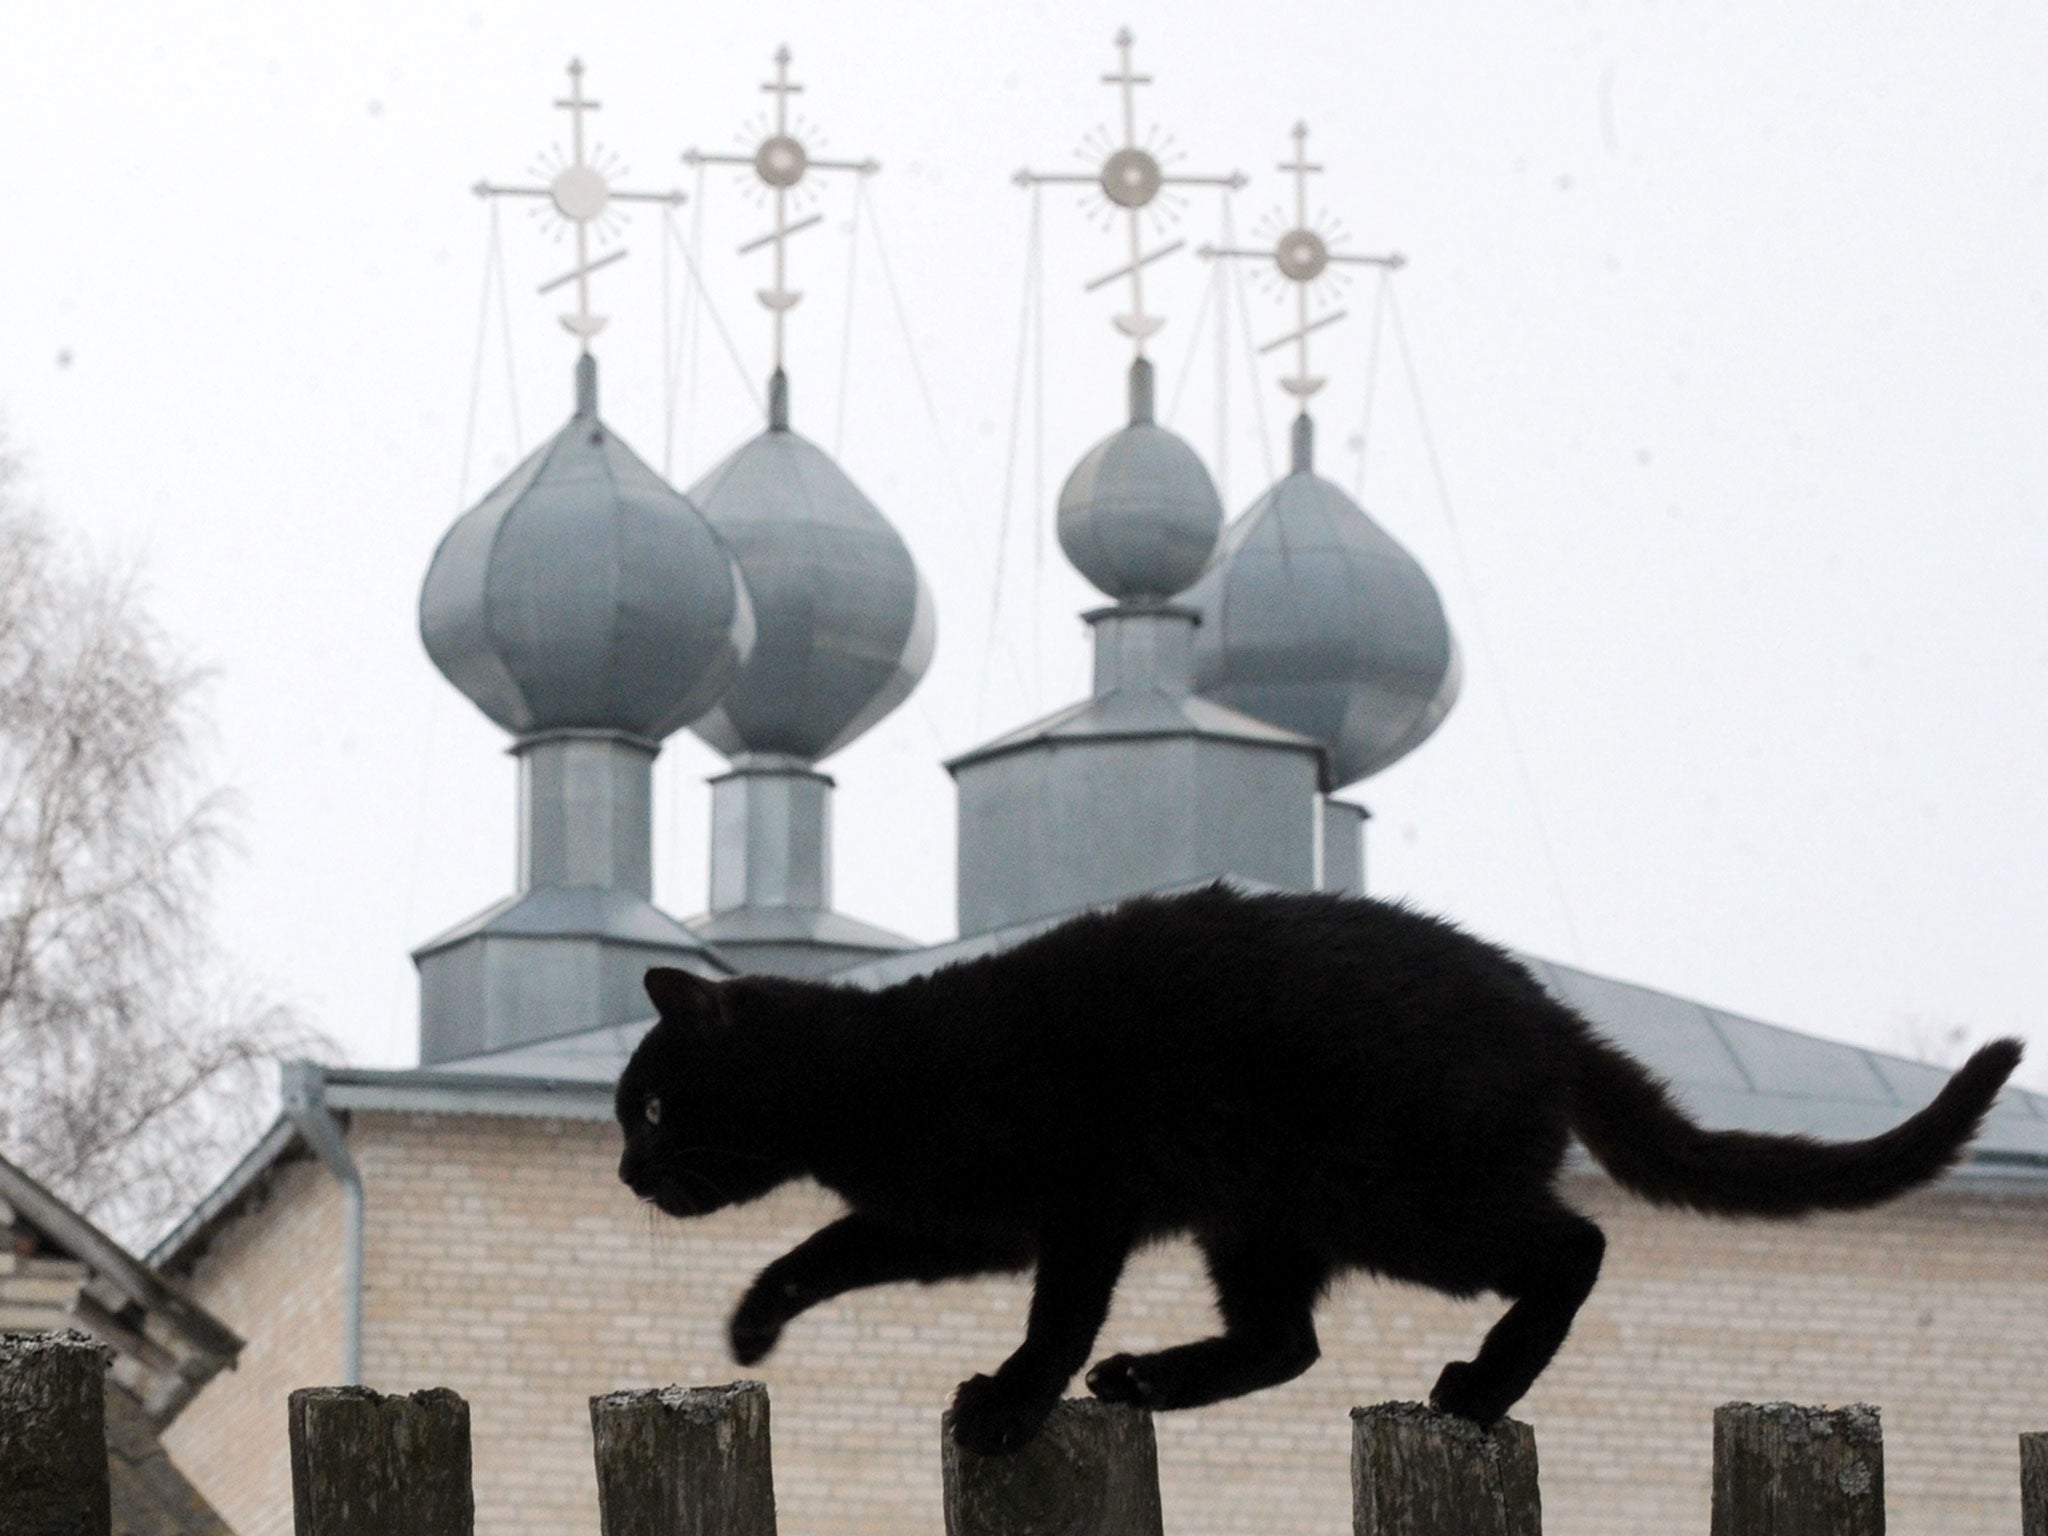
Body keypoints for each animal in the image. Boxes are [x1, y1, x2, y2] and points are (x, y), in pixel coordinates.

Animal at [614, 884, 2023, 1458]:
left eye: (656, 1105)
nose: (626, 1174)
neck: (882, 1068)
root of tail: (1546, 1012)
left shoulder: (1075, 1208)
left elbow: (1049, 1317)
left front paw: (1010, 1403)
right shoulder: (960, 1220)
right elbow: (831, 1244)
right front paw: (753, 1325)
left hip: (1397, 1203)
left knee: (1574, 1246)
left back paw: (1476, 1388)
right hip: (1259, 1217)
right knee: (1287, 1340)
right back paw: (1154, 1379)